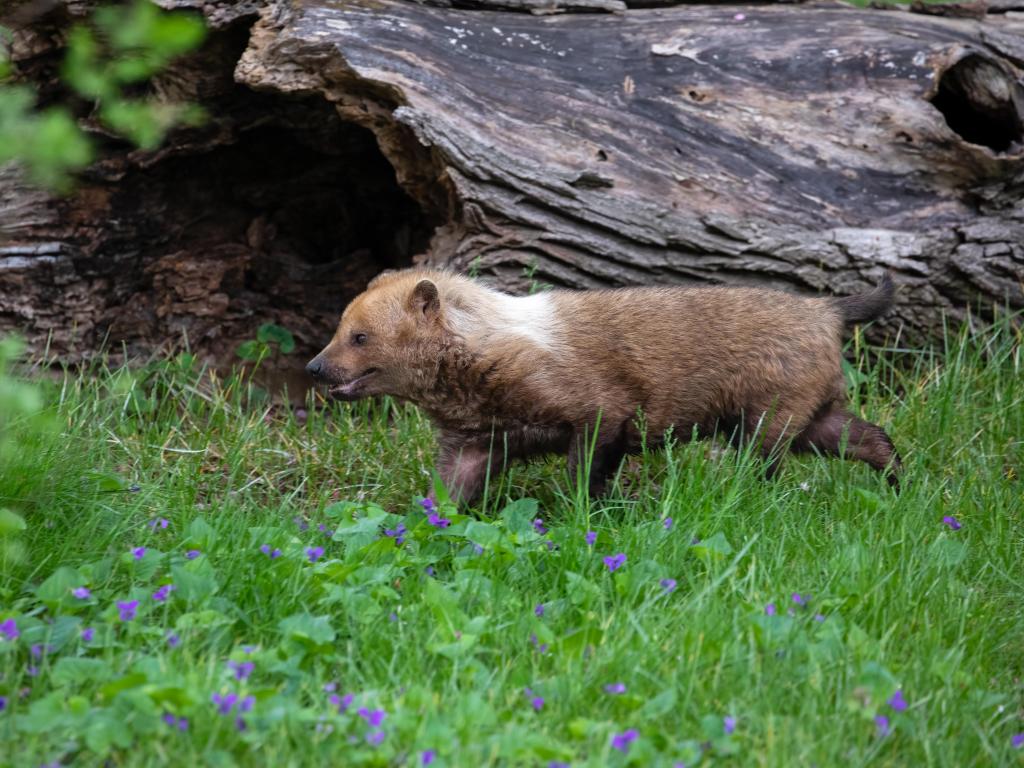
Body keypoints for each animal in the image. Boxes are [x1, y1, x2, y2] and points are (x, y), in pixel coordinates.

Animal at [307, 270, 901, 505]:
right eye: (341, 328)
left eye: (359, 335)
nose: (314, 368)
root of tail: (827, 309)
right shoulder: (473, 441)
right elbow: (445, 498)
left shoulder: (599, 414)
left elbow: (583, 477)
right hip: (807, 414)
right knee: (873, 438)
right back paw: (901, 487)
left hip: (766, 419)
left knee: (767, 467)